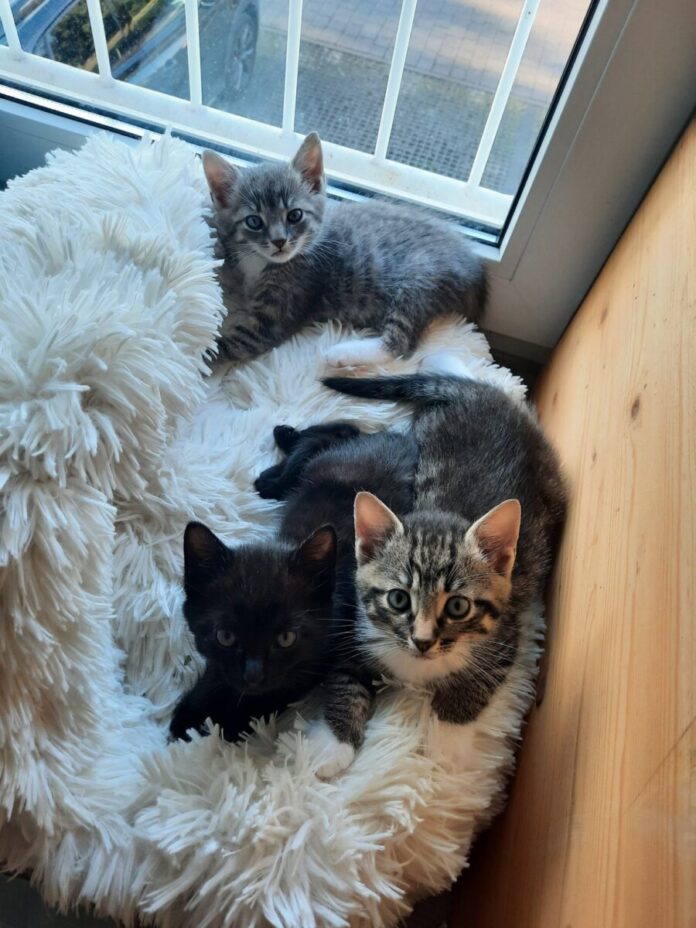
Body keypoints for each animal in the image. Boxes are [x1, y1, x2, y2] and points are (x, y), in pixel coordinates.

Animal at [170, 422, 417, 742]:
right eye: (225, 636)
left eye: (286, 639)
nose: (253, 675)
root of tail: (396, 437)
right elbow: (219, 671)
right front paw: (191, 713)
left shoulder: (324, 651)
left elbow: (277, 690)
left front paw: (228, 723)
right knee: (330, 435)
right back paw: (277, 457)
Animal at [202, 133, 487, 369]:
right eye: (254, 222)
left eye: (294, 215)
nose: (279, 241)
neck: (263, 263)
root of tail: (474, 265)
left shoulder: (275, 316)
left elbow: (227, 346)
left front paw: (199, 361)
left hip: (421, 278)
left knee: (400, 344)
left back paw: (341, 353)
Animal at [307, 372, 567, 777]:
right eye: (398, 599)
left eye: (458, 607)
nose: (423, 641)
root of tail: (486, 394)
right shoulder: (354, 628)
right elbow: (344, 682)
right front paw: (334, 747)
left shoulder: (506, 637)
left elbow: (475, 685)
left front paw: (447, 742)